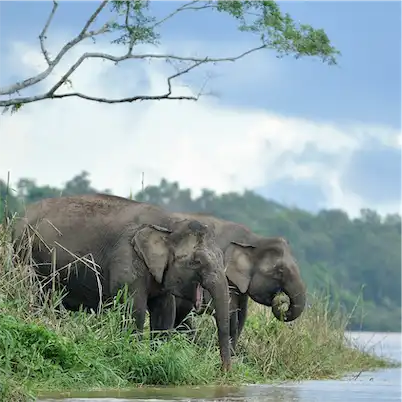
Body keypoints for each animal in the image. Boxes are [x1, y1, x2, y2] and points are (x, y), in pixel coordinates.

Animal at [12, 194, 231, 370]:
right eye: (197, 262)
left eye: (222, 258)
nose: (224, 371)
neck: (170, 223)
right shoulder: (127, 258)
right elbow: (134, 310)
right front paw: (134, 356)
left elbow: (165, 312)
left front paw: (157, 357)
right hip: (28, 258)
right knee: (41, 299)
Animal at [171, 212, 306, 354]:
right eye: (280, 272)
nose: (281, 298)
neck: (254, 240)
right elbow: (230, 311)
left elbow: (242, 313)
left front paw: (232, 353)